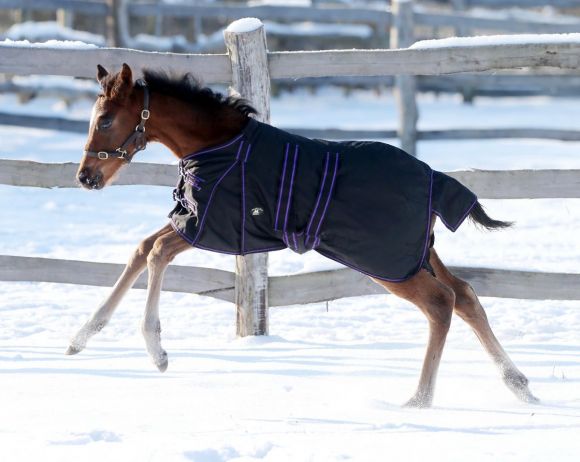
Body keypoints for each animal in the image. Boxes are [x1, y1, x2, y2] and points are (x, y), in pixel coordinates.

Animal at [69, 64, 540, 408]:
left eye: (105, 120)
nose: (86, 177)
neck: (217, 147)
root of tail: (433, 176)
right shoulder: (191, 218)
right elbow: (141, 249)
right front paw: (80, 338)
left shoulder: (212, 225)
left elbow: (157, 253)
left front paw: (157, 352)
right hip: (417, 254)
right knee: (465, 294)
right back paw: (518, 384)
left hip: (388, 265)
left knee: (442, 303)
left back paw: (419, 401)